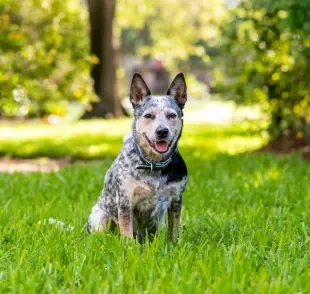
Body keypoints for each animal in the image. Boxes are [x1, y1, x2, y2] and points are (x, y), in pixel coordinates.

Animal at [87, 72, 189, 241]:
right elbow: (127, 233)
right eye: (148, 115)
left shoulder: (176, 199)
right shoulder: (125, 201)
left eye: (172, 115)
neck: (154, 165)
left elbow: (174, 230)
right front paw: (128, 246)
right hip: (100, 216)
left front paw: (175, 243)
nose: (162, 131)